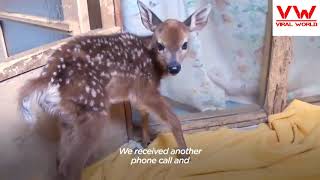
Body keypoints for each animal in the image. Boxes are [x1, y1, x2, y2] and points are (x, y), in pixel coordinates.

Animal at [18, 1, 211, 180]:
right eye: (160, 45)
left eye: (185, 44)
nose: (174, 67)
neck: (154, 65)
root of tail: (48, 77)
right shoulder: (144, 88)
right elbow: (172, 119)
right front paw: (185, 156)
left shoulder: (135, 94)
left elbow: (144, 114)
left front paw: (146, 141)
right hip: (93, 109)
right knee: (71, 165)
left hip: (67, 117)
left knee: (60, 160)